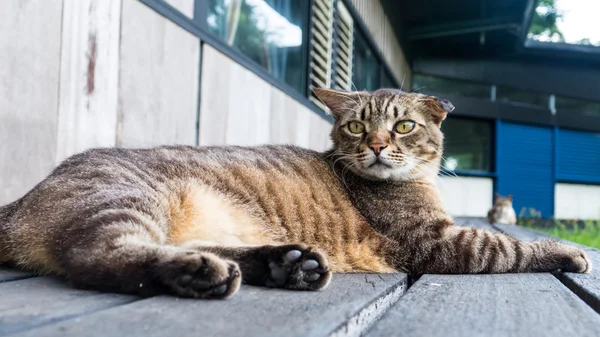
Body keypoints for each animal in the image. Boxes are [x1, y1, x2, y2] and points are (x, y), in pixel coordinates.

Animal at [0, 88, 592, 298]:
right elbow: (509, 246)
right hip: (126, 201)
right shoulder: (440, 242)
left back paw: (286, 265)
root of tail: (20, 202)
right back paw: (199, 274)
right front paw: (567, 251)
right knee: (99, 255)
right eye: (356, 126)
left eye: (402, 126)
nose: (377, 144)